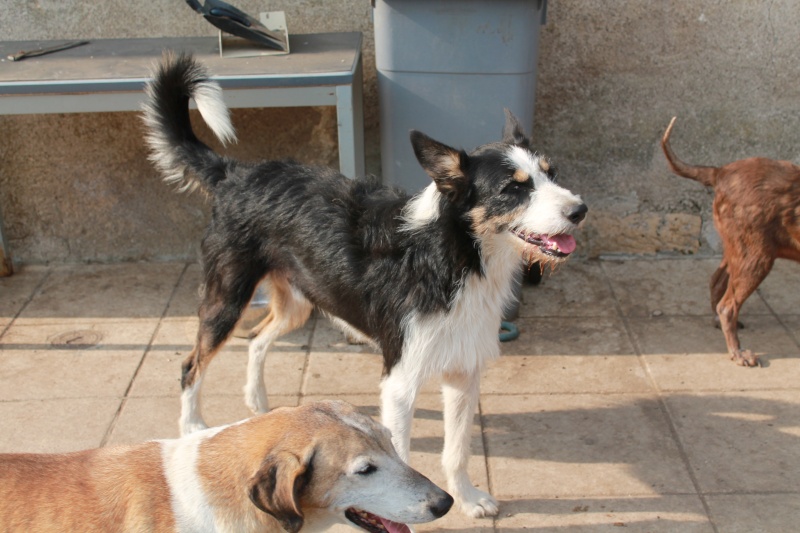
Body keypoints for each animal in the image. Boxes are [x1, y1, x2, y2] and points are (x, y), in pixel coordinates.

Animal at [141, 53, 584, 516]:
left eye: (552, 174)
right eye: (513, 188)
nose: (580, 210)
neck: (451, 257)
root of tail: (236, 174)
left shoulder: (463, 375)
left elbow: (457, 450)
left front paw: (466, 497)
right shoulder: (399, 384)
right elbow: (402, 460)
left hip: (297, 303)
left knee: (257, 339)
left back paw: (259, 405)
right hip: (226, 299)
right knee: (191, 365)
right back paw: (193, 424)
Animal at [664, 116, 800, 366]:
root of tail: (720, 172)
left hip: (738, 247)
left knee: (716, 282)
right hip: (756, 256)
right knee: (728, 305)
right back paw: (737, 352)